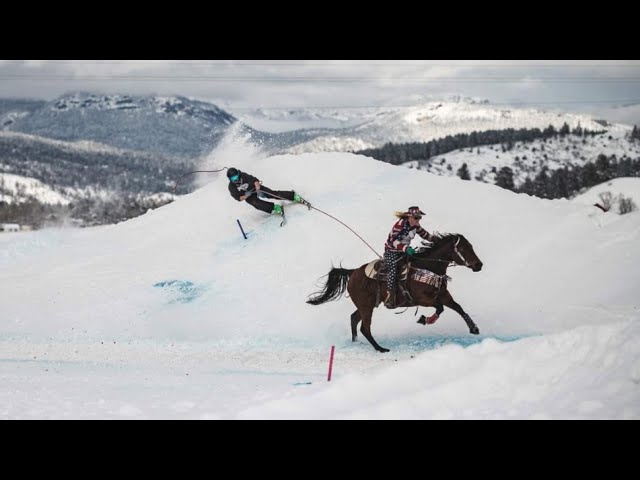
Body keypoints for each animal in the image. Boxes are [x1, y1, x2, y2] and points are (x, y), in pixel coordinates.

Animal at [308, 233, 482, 352]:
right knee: (365, 327)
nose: (478, 265)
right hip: (366, 306)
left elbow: (458, 308)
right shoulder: (422, 299)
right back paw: (380, 348)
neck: (427, 268)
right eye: (463, 248)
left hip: (367, 305)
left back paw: (356, 342)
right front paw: (424, 319)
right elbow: (440, 308)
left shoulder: (444, 295)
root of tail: (353, 272)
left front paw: (474, 328)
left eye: (471, 246)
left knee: (354, 319)